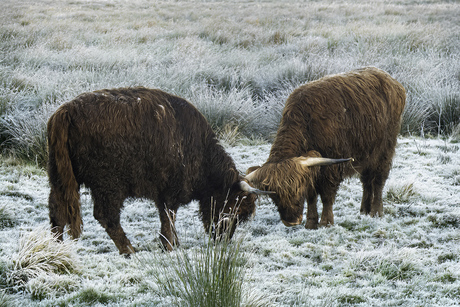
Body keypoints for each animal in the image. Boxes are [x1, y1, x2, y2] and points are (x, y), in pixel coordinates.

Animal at [48, 86, 264, 255]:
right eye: (234, 208)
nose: (223, 238)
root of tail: (66, 111)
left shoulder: (163, 194)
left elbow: (166, 217)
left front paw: (171, 243)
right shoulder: (171, 191)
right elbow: (169, 217)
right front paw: (169, 245)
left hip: (59, 179)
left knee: (57, 212)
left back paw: (56, 249)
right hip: (109, 186)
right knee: (106, 216)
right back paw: (129, 250)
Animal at [246, 68, 404, 231]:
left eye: (297, 190)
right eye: (273, 195)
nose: (291, 221)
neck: (307, 123)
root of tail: (390, 80)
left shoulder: (331, 168)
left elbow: (327, 195)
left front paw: (326, 222)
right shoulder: (312, 170)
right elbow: (311, 196)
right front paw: (310, 223)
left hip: (384, 151)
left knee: (378, 180)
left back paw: (376, 212)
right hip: (366, 155)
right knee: (366, 181)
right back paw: (364, 210)